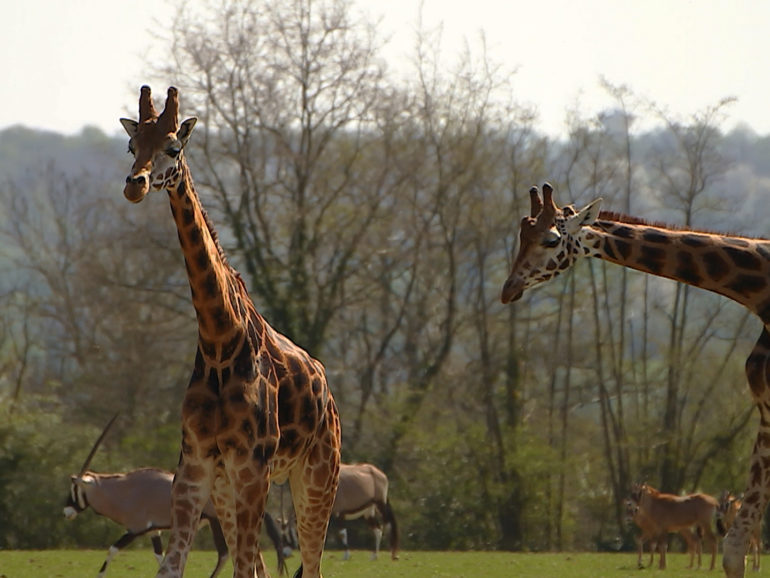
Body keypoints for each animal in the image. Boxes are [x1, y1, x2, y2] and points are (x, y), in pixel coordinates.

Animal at [63, 416, 288, 572]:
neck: (123, 490)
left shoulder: (135, 529)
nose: (66, 512)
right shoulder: (153, 531)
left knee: (224, 554)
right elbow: (159, 556)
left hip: (216, 520)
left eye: (75, 489)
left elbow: (112, 550)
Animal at [119, 86, 340, 576]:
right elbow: (174, 567)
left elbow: (243, 568)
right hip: (231, 490)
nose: (134, 184)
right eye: (131, 145)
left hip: (319, 476)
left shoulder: (251, 468)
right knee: (261, 562)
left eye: (173, 148)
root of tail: (328, 392)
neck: (219, 341)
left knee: (311, 563)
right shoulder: (196, 466)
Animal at [498, 183, 768, 576]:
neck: (760, 292)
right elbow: (735, 552)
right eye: (521, 235)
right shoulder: (765, 408)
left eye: (550, 240)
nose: (508, 289)